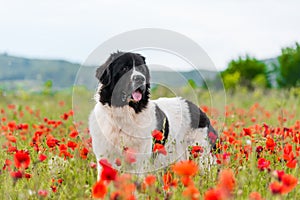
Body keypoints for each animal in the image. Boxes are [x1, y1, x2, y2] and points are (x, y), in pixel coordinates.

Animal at [89, 52, 218, 177]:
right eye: (124, 68)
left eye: (141, 69)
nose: (140, 79)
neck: (125, 114)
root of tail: (200, 111)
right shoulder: (105, 158)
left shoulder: (140, 162)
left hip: (200, 155)